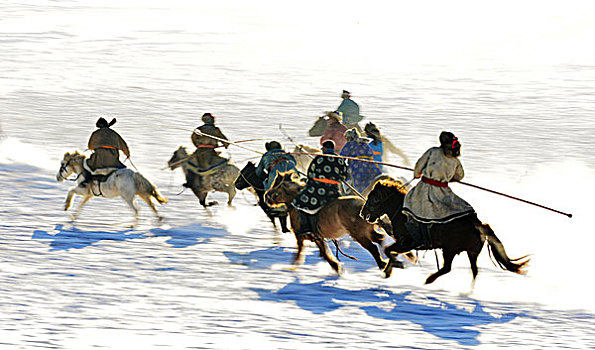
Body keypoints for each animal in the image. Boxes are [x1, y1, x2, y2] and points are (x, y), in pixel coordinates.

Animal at [358, 178, 532, 284]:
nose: (363, 214)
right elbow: (390, 251)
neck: (402, 213)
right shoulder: (402, 244)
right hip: (470, 252)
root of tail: (479, 224)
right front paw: (389, 270)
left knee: (448, 268)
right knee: (473, 271)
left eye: (374, 198)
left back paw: (429, 280)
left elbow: (388, 251)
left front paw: (394, 266)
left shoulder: (407, 243)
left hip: (450, 250)